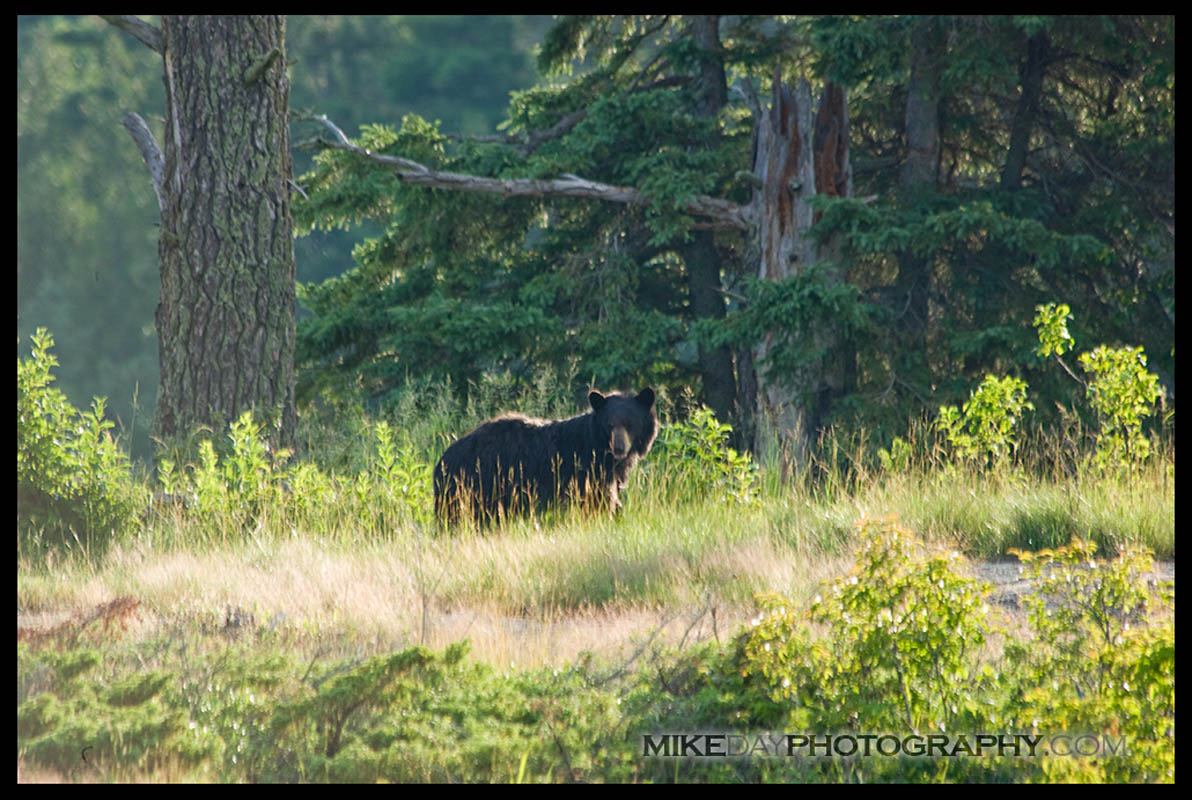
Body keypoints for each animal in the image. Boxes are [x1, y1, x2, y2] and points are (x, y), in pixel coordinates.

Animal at [436, 388, 662, 524]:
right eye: (610, 424)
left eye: (630, 424)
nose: (619, 449)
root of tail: (442, 461)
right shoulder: (585, 472)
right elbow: (597, 502)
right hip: (474, 488)